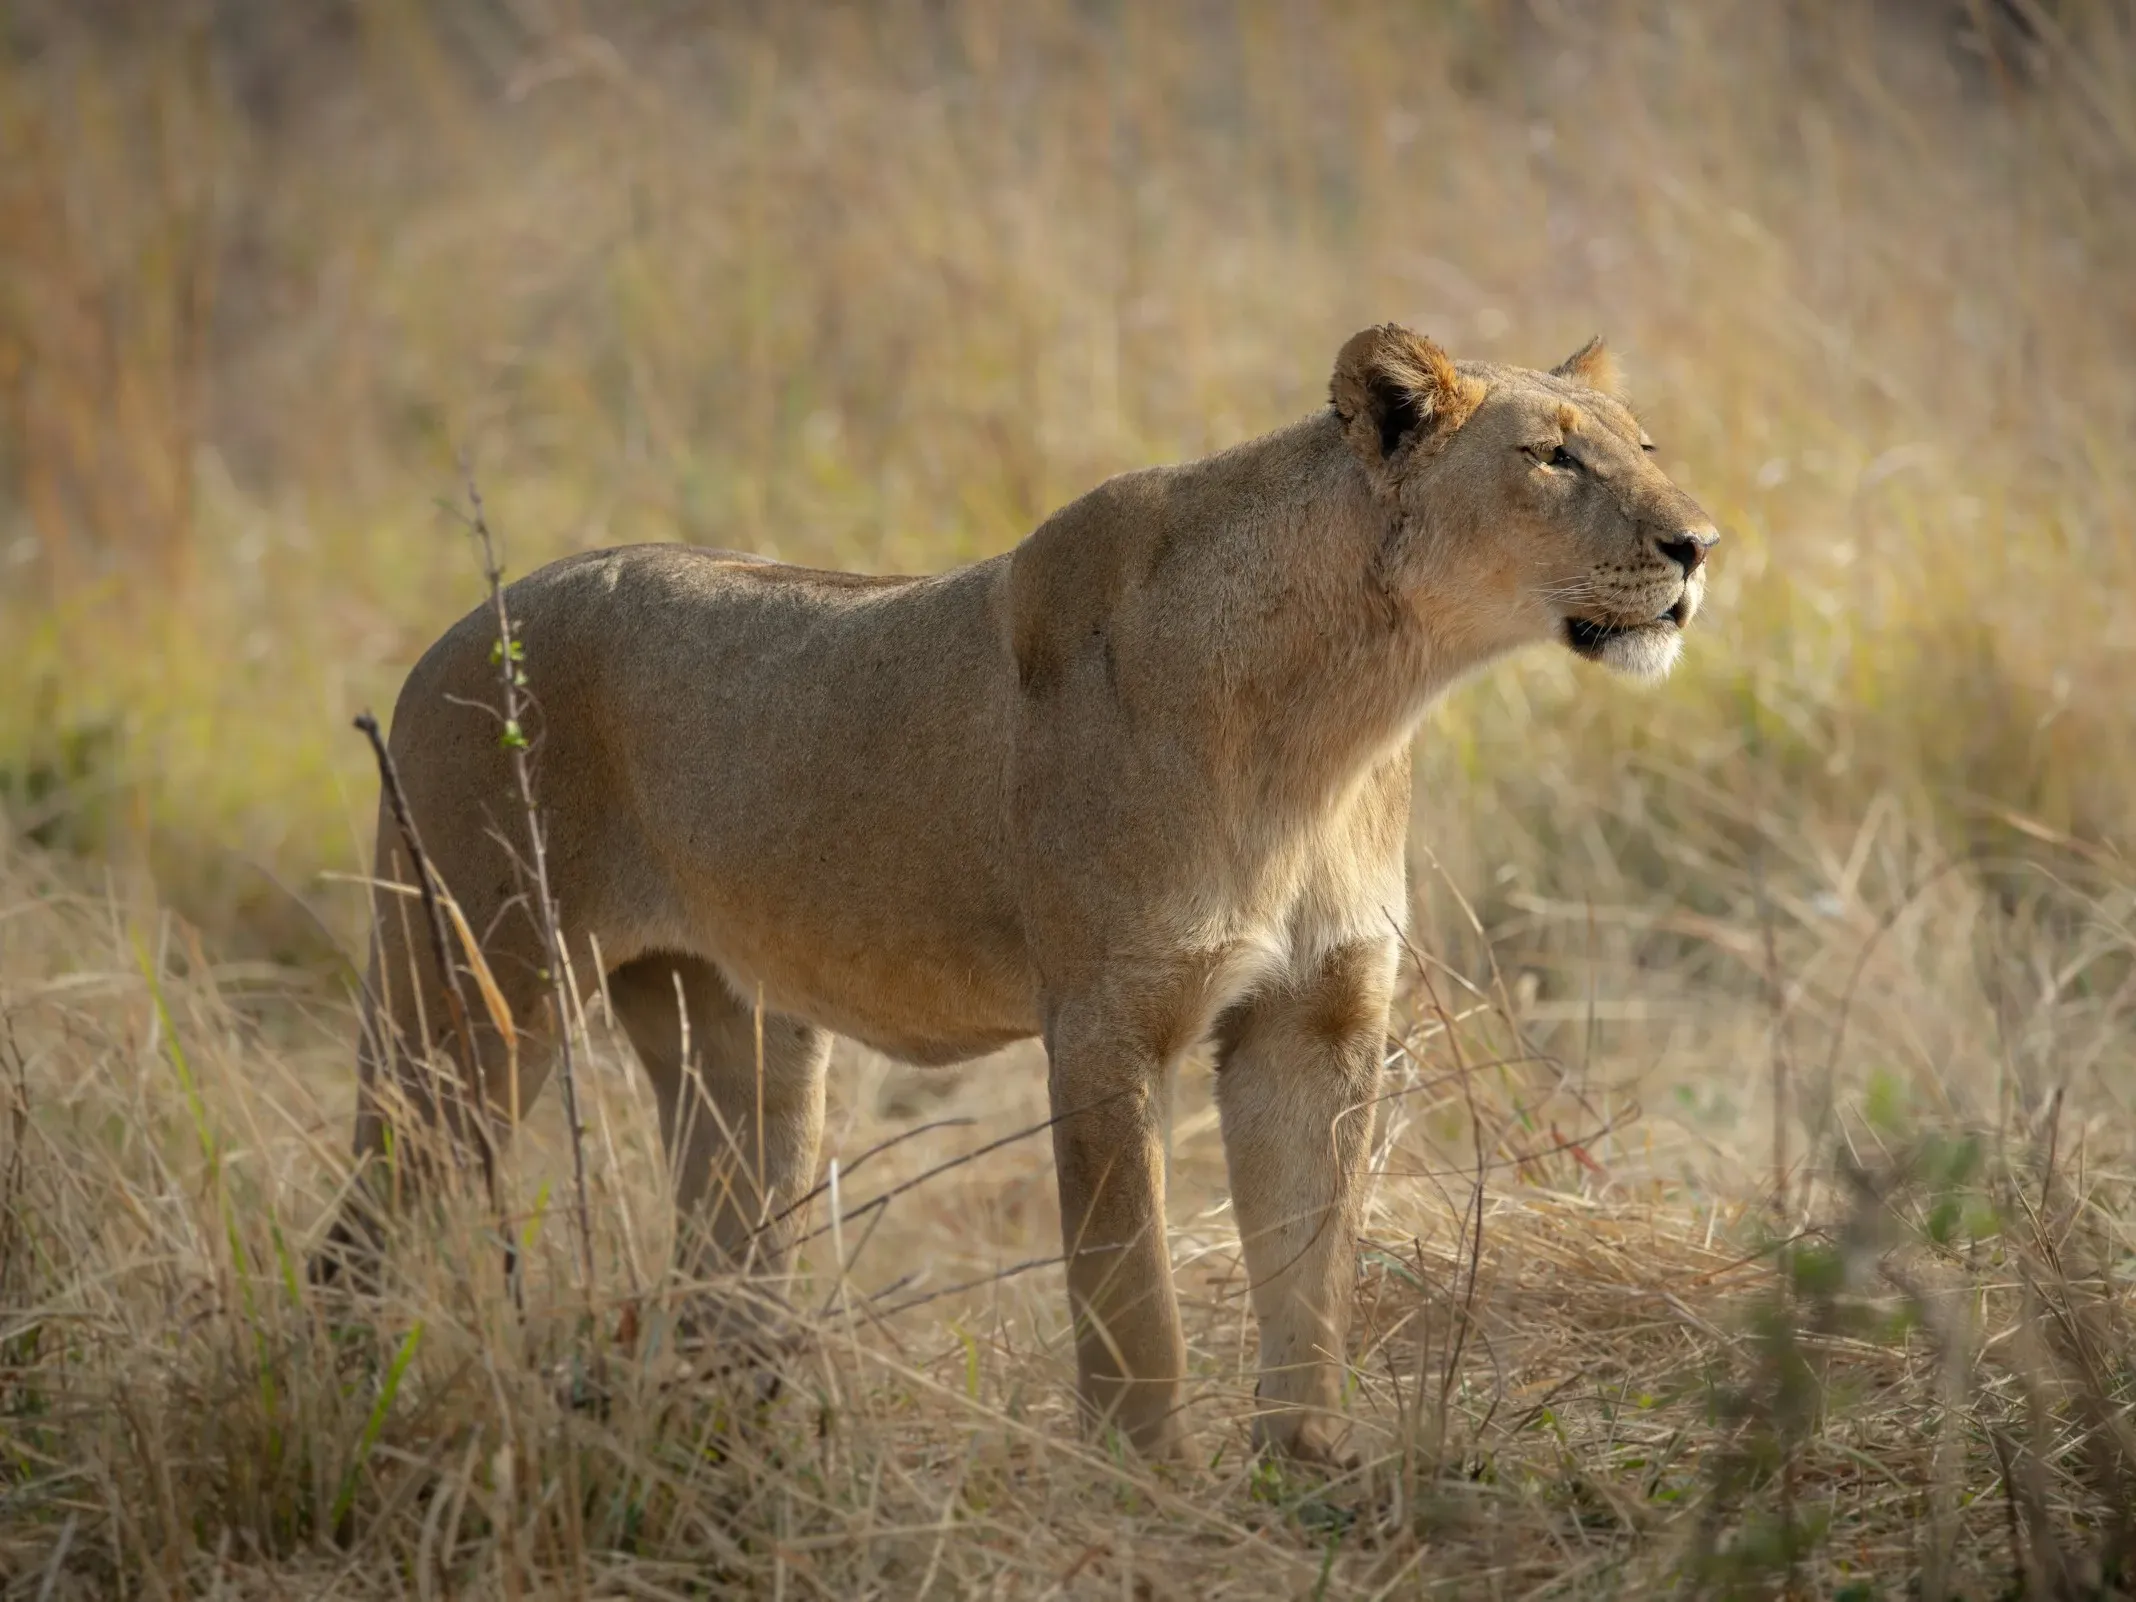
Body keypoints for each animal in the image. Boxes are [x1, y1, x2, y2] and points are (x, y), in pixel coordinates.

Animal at [324, 325, 1715, 1464]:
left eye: (1646, 445)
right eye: (1551, 458)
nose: (1700, 543)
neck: (1346, 712)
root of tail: (458, 628)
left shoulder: (1317, 1016)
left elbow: (1310, 1264)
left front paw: (1310, 1466)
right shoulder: (1106, 1016)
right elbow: (1131, 1288)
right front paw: (1148, 1481)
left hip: (745, 1043)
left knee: (720, 1270)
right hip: (469, 993)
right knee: (362, 1234)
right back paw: (358, 1424)